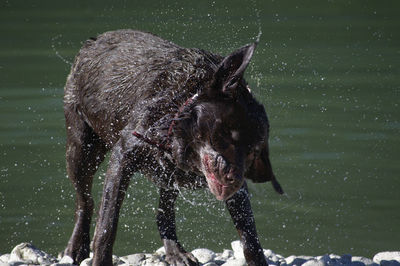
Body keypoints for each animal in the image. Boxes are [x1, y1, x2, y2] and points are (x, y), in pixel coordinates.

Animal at [63, 29, 282, 266]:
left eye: (253, 151)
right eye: (227, 133)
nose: (234, 178)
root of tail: (94, 40)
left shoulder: (235, 192)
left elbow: (250, 238)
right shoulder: (122, 158)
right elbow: (107, 224)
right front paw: (101, 259)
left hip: (169, 176)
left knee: (163, 215)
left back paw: (175, 251)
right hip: (81, 150)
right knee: (85, 202)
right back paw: (76, 247)